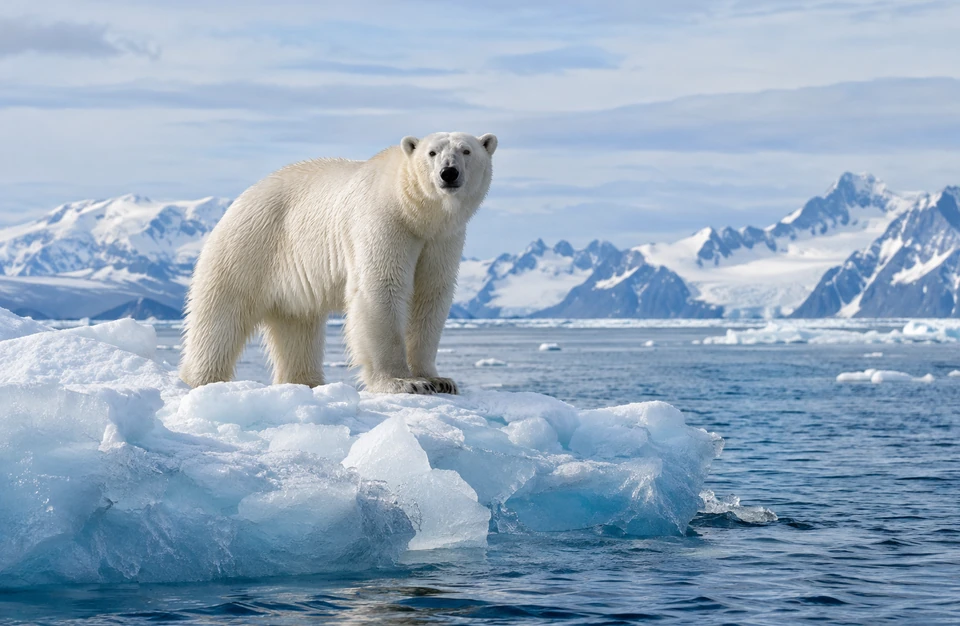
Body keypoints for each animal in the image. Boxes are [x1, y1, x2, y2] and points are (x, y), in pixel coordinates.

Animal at [179, 131, 497, 394]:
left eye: (466, 150)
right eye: (432, 153)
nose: (449, 172)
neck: (414, 212)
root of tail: (240, 199)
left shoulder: (442, 239)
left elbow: (429, 296)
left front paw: (438, 380)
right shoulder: (384, 222)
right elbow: (383, 288)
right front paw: (404, 382)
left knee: (297, 326)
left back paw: (307, 381)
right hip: (250, 246)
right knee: (221, 314)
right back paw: (203, 378)